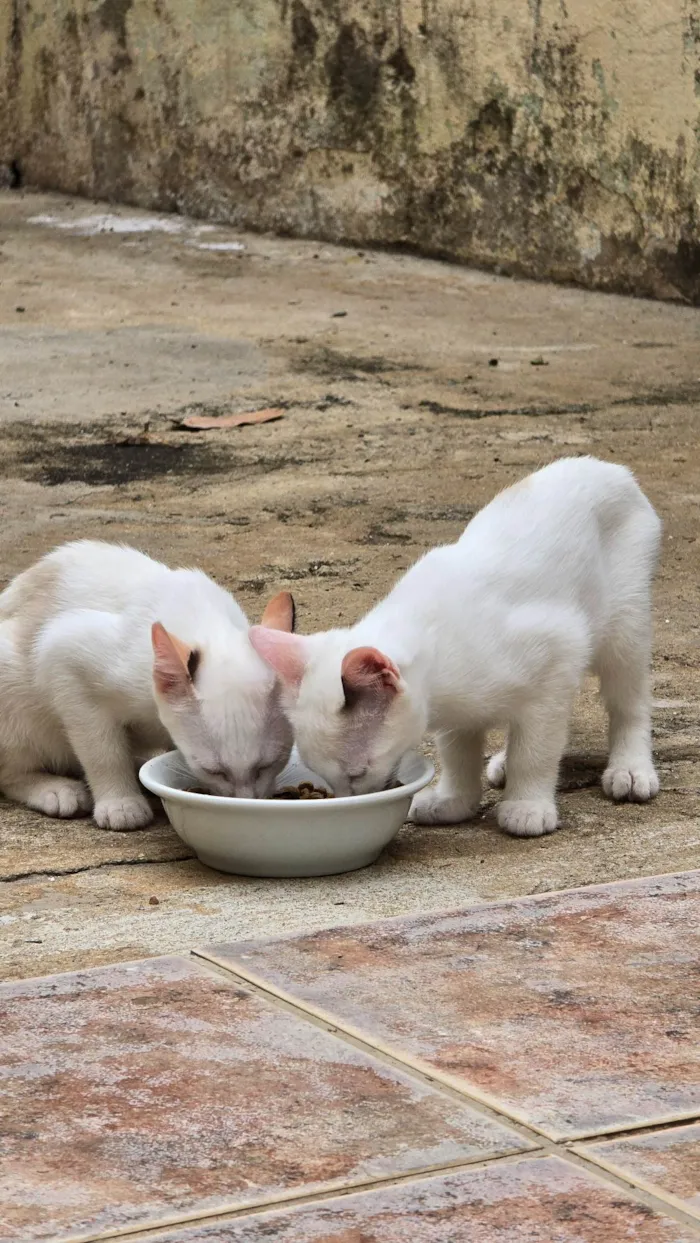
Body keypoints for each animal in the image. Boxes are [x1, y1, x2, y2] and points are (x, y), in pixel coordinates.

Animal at [0, 539, 295, 830]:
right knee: (9, 772)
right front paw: (120, 802)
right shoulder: (64, 657)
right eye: (214, 771)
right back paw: (55, 790)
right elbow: (103, 752)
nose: (246, 800)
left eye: (269, 764)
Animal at [252, 462, 661, 840]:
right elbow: (459, 754)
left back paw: (630, 767)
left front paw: (527, 804)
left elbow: (536, 750)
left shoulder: (559, 656)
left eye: (357, 773)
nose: (350, 801)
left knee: (629, 702)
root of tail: (607, 467)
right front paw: (454, 801)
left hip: (623, 627)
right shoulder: (459, 714)